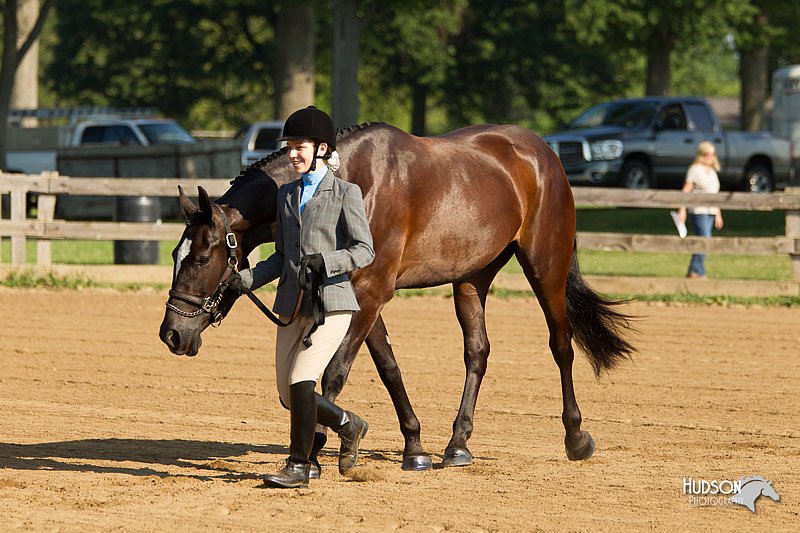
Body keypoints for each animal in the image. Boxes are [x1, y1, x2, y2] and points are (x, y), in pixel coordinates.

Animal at [159, 121, 636, 470]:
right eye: (176, 253)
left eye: (200, 257)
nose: (172, 335)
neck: (352, 179)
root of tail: (543, 152)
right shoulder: (362, 298)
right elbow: (388, 369)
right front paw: (415, 447)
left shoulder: (370, 294)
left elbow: (333, 375)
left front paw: (315, 451)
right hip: (471, 278)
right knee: (477, 352)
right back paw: (457, 444)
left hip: (545, 267)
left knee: (561, 345)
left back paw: (576, 437)